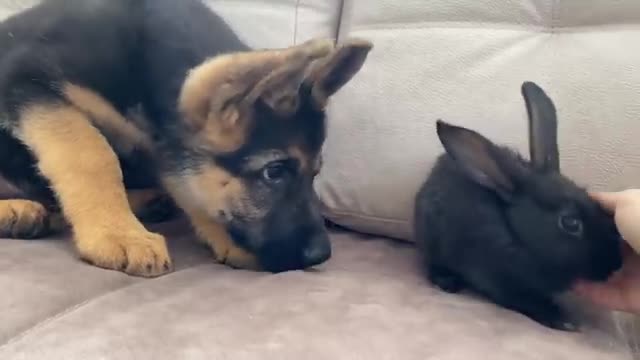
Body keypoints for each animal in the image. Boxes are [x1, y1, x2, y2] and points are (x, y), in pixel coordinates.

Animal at [0, 0, 372, 276]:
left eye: (315, 172)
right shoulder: (25, 81)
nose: (321, 255)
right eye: (275, 171)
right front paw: (118, 234)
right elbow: (92, 152)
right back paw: (17, 212)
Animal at [412, 80, 624, 330]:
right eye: (570, 223)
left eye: (591, 199)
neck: (518, 237)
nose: (616, 264)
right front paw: (562, 319)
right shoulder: (495, 277)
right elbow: (523, 299)